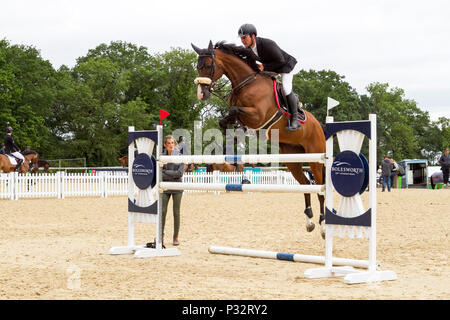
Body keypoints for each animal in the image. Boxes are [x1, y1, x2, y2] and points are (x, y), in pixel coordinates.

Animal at [192, 40, 326, 236]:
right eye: (197, 67)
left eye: (209, 66)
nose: (202, 94)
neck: (245, 84)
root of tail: (318, 125)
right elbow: (225, 120)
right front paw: (233, 139)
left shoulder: (258, 116)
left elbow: (234, 111)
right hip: (292, 158)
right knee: (306, 183)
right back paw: (309, 220)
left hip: (315, 157)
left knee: (320, 187)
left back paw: (323, 224)